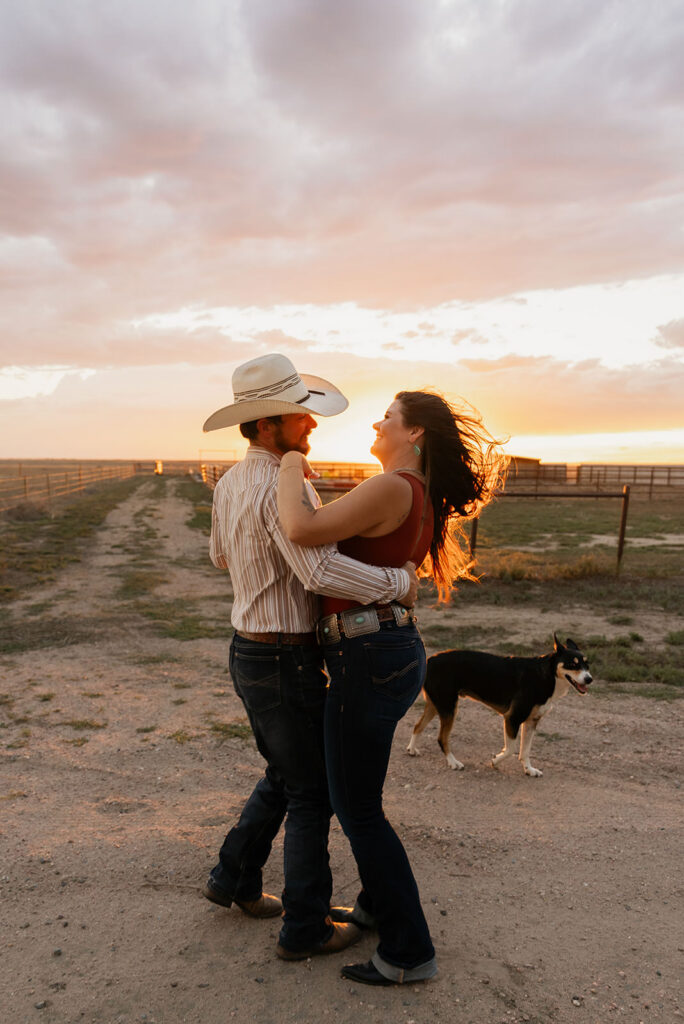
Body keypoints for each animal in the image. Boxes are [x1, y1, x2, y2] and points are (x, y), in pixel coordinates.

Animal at [405, 630, 593, 774]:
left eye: (587, 665)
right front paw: (495, 761)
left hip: (437, 705)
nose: (589, 679)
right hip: (449, 707)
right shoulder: (512, 718)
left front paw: (529, 770)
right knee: (441, 738)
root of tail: (430, 660)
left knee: (418, 726)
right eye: (572, 664)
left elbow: (525, 751)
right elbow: (510, 750)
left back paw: (412, 749)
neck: (546, 675)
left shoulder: (532, 721)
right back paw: (453, 762)